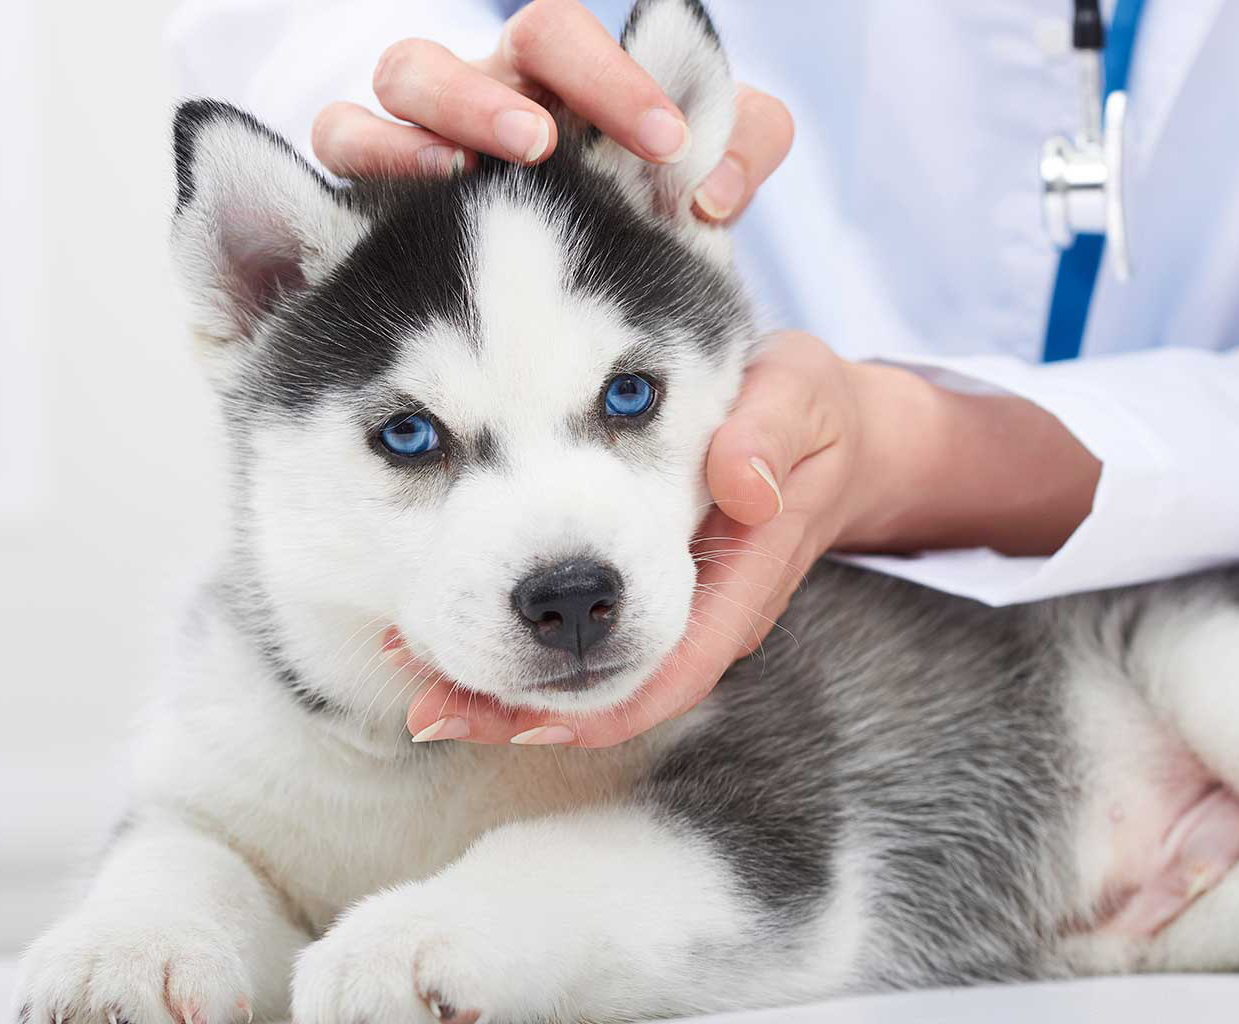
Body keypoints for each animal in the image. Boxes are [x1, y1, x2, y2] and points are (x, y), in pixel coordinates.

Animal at [14, 1, 1239, 1021]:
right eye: (408, 434)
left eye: (629, 394)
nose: (572, 597)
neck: (430, 763)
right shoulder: (220, 764)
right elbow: (174, 851)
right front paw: (115, 947)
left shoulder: (775, 821)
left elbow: (568, 855)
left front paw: (407, 936)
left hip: (1187, 648)